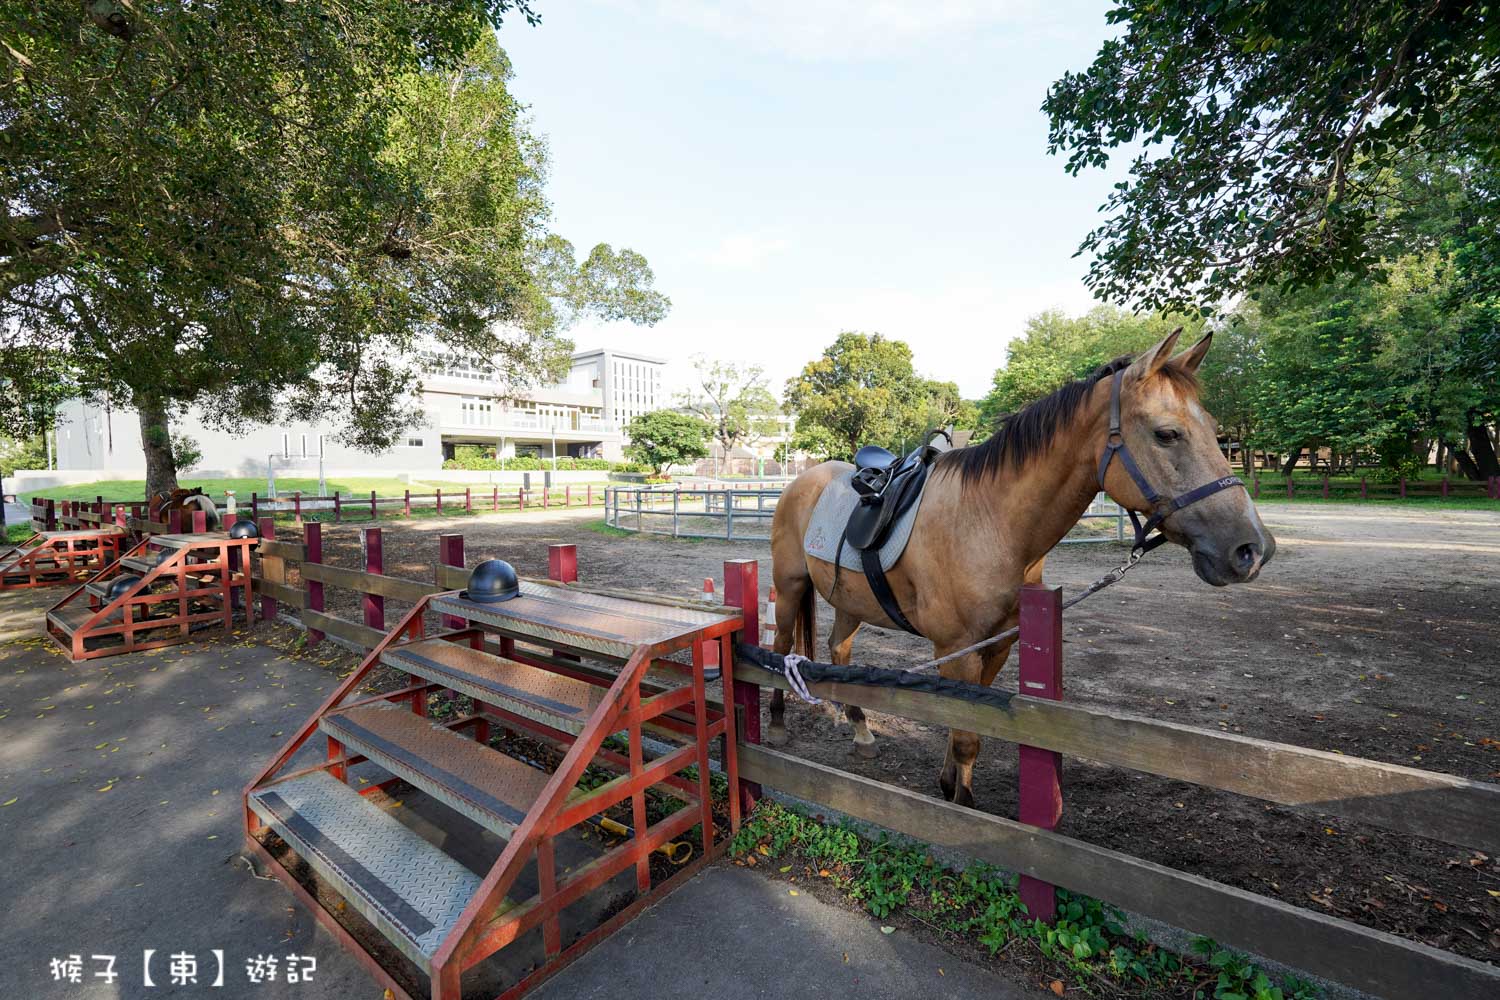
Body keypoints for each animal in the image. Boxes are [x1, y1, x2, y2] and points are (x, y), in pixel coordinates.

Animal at [774, 332, 1278, 809]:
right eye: (1167, 434)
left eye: (1215, 430)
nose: (1252, 548)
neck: (989, 520)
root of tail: (804, 479)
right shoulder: (955, 648)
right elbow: (966, 737)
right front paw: (963, 806)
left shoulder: (997, 644)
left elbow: (969, 730)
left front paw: (951, 786)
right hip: (789, 587)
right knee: (779, 649)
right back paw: (778, 720)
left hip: (849, 601)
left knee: (838, 650)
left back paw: (859, 727)